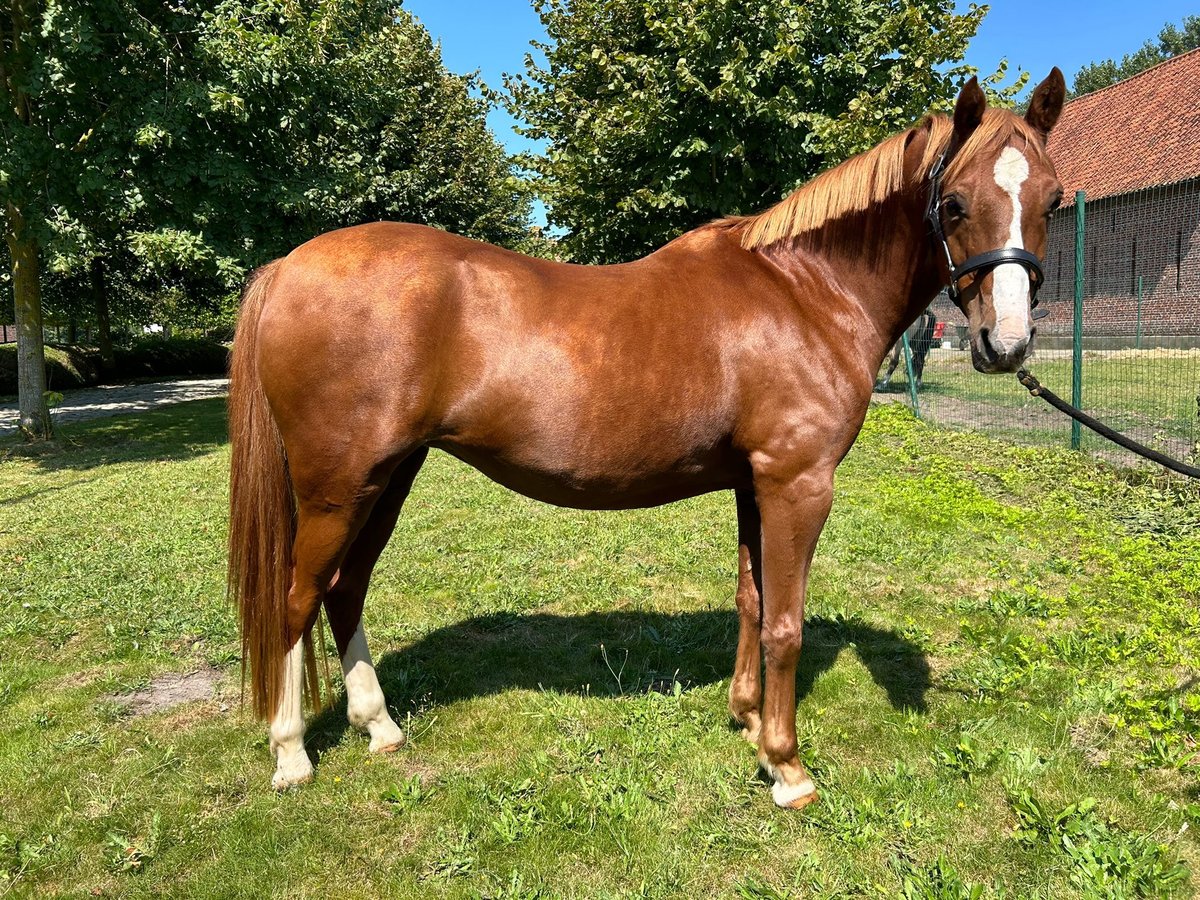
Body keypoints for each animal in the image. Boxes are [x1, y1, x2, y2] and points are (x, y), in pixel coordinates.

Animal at [229, 74, 1065, 806]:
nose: (1007, 344)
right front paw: (789, 767)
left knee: (345, 590)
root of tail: (288, 266)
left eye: (1052, 199)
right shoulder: (797, 482)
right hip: (337, 485)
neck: (804, 291)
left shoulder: (753, 482)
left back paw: (380, 728)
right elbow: (786, 623)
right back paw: (291, 754)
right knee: (299, 599)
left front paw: (748, 723)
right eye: (953, 202)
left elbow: (751, 601)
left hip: (389, 475)